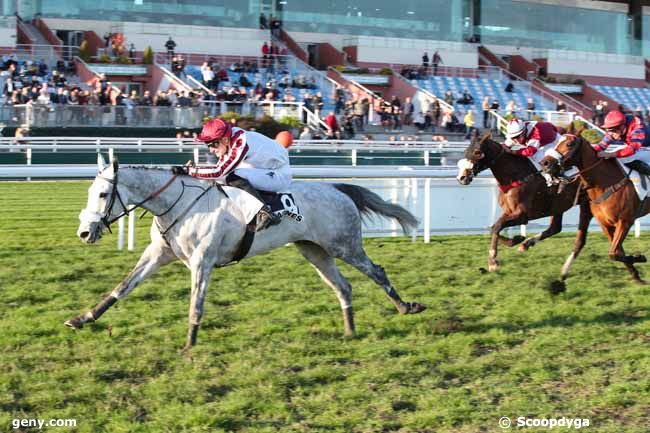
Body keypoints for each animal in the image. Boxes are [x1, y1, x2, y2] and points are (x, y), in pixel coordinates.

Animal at [456, 133, 592, 286]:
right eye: (466, 151)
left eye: (477, 152)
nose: (462, 177)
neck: (516, 176)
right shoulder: (509, 211)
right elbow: (493, 228)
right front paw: (516, 239)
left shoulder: (522, 215)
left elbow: (497, 226)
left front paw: (493, 262)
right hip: (559, 205)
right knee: (555, 228)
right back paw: (526, 244)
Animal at [536, 135, 648, 284]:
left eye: (569, 144)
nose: (544, 163)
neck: (605, 183)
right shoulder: (606, 224)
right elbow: (617, 252)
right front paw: (636, 274)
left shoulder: (625, 221)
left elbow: (613, 253)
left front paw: (640, 258)